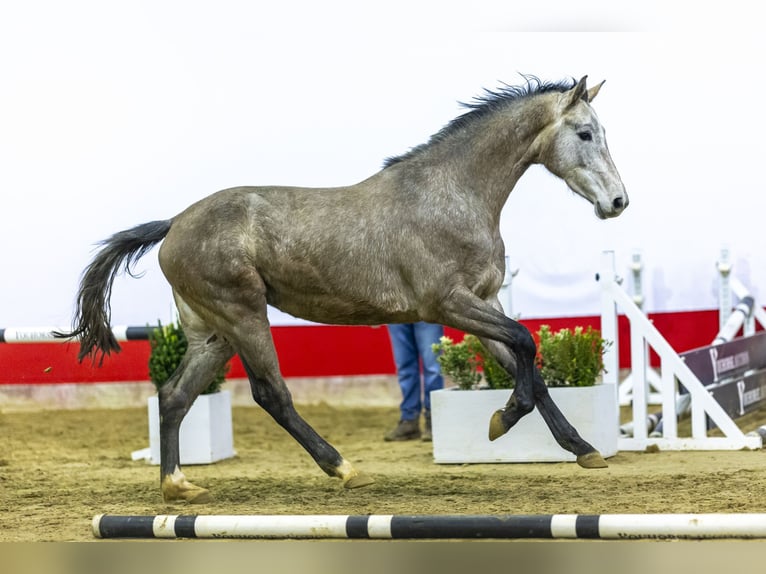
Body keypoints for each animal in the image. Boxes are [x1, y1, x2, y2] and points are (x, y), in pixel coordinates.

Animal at [55, 75, 632, 504]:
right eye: (585, 134)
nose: (619, 202)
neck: (453, 195)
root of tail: (174, 223)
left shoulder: (483, 303)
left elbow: (528, 366)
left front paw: (582, 448)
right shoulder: (451, 305)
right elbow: (527, 345)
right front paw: (501, 421)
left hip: (213, 333)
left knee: (174, 395)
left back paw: (178, 485)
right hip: (243, 314)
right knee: (271, 394)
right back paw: (343, 468)